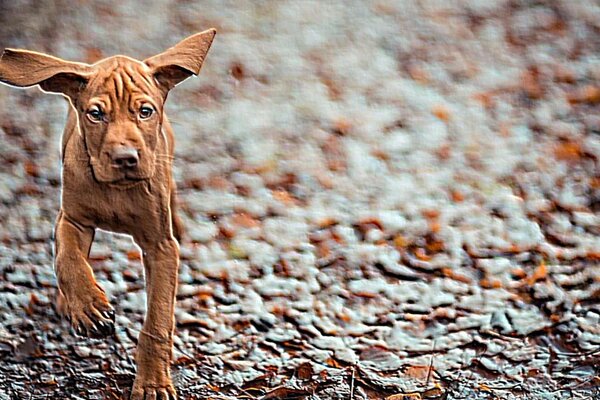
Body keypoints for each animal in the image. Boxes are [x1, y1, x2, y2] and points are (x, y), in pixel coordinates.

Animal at [0, 29, 216, 398]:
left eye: (145, 111)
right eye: (96, 114)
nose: (125, 158)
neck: (116, 190)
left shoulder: (161, 246)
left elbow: (158, 318)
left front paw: (153, 382)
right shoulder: (72, 220)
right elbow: (68, 260)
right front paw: (88, 307)